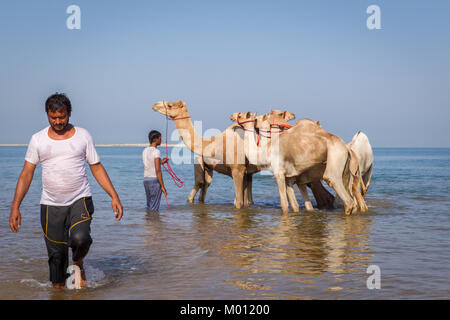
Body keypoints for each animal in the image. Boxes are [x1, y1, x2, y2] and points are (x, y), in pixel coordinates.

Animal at [232, 112, 362, 215]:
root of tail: (347, 148)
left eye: (243, 115)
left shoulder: (279, 173)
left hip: (335, 158)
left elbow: (284, 204)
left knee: (346, 198)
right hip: (346, 171)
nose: (232, 116)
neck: (267, 150)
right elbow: (295, 205)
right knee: (352, 201)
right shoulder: (289, 177)